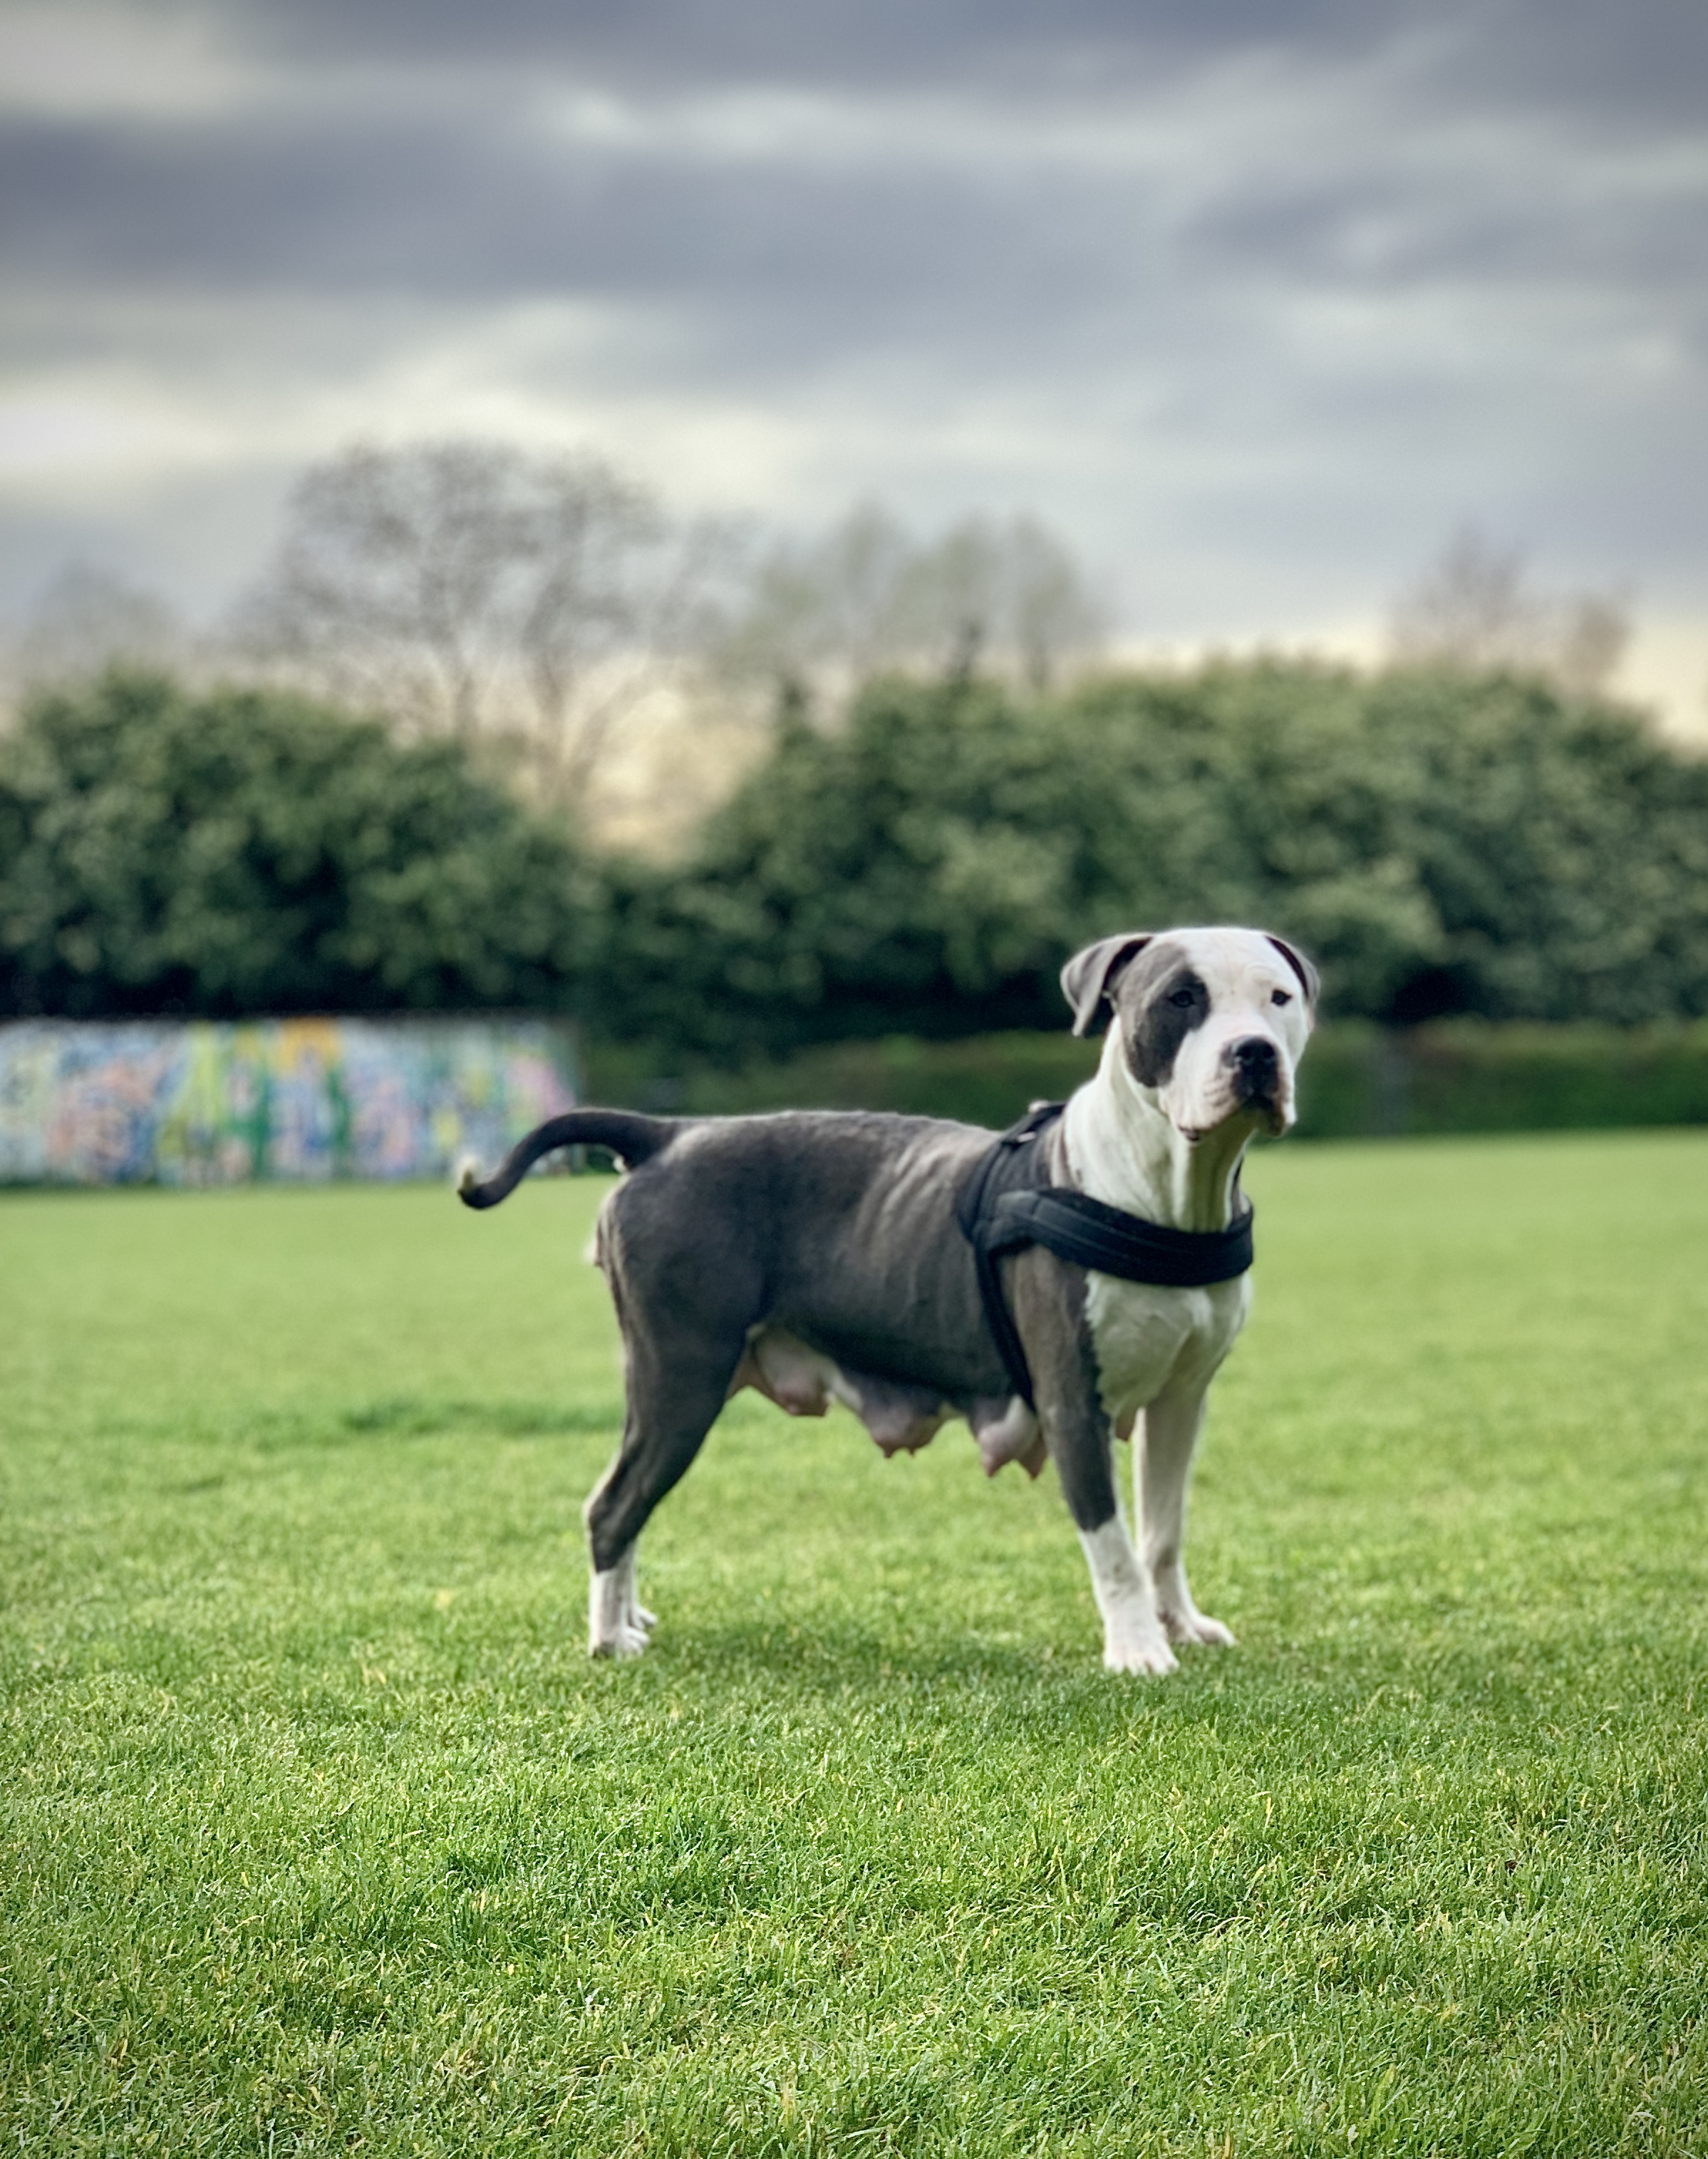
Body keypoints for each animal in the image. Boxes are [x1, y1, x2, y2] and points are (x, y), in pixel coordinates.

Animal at [460, 923, 1313, 1667]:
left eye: (1279, 998)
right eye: (1181, 998)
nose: (1255, 1054)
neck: (1163, 1191)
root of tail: (668, 1135)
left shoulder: (1181, 1401)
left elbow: (1162, 1533)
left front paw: (1182, 1626)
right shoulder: (1074, 1403)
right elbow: (1112, 1546)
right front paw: (1138, 1651)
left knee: (631, 1503)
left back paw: (629, 1616)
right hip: (681, 1376)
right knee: (614, 1504)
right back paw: (609, 1639)